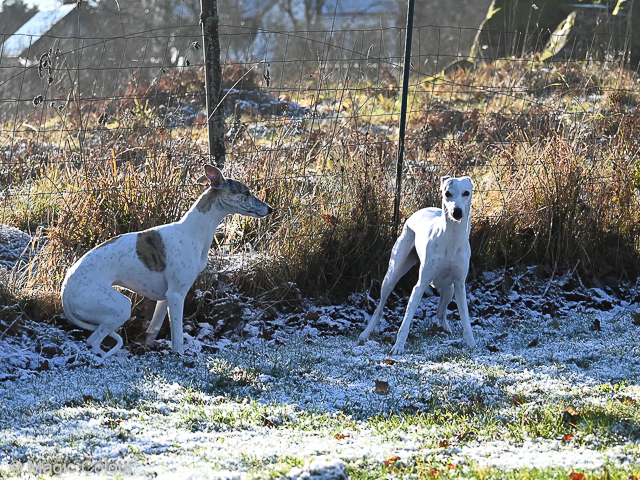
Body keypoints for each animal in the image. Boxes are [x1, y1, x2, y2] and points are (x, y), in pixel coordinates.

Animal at [60, 165, 270, 356]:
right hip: (120, 306)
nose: (270, 209)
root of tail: (64, 292)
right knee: (93, 341)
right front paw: (180, 357)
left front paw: (148, 349)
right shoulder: (176, 295)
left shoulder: (165, 298)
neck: (192, 231)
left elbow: (153, 329)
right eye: (246, 192)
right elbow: (177, 337)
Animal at [360, 174, 476, 354]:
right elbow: (406, 320)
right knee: (379, 308)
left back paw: (446, 329)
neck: (451, 239)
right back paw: (366, 333)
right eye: (447, 193)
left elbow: (465, 319)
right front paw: (398, 346)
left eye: (466, 193)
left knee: (440, 311)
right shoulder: (420, 285)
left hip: (448, 288)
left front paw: (471, 344)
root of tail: (420, 211)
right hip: (392, 275)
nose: (456, 212)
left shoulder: (460, 285)